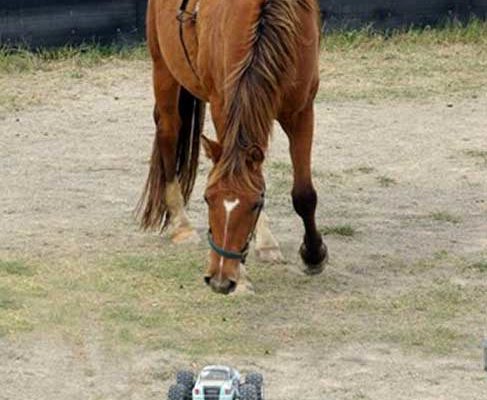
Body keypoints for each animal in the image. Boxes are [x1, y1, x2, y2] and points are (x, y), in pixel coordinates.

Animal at [137, 0, 328, 294]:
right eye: (207, 198)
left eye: (255, 204)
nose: (219, 279)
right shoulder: (222, 105)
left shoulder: (301, 111)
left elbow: (304, 194)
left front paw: (313, 255)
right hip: (163, 69)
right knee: (168, 133)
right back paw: (181, 225)